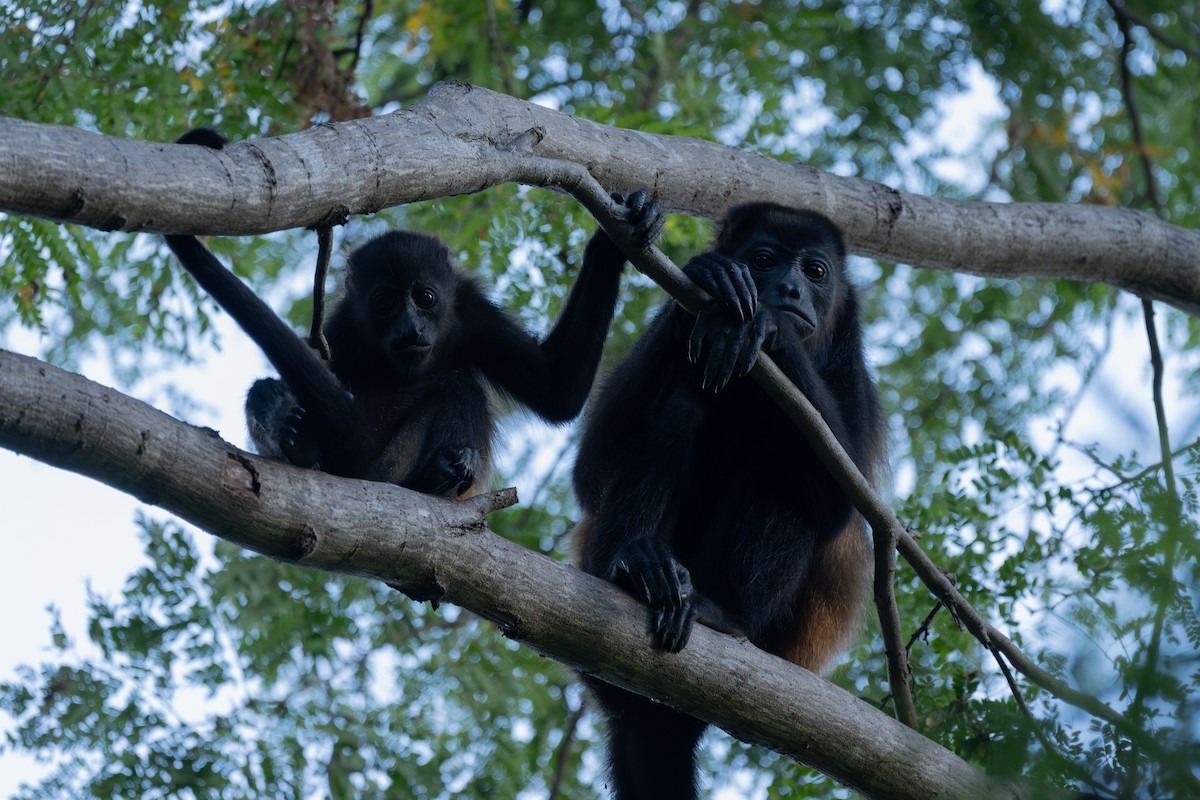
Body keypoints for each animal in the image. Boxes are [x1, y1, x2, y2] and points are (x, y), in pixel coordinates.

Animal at [166, 128, 664, 498]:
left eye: (424, 297)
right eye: (385, 304)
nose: (410, 326)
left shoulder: (468, 310)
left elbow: (558, 391)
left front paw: (613, 240)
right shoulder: (343, 328)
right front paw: (280, 415)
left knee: (458, 384)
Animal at [571, 204, 884, 799]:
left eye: (816, 272)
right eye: (763, 260)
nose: (788, 289)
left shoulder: (851, 357)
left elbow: (843, 504)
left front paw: (771, 326)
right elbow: (593, 469)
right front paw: (709, 275)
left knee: (784, 480)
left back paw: (725, 615)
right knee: (679, 407)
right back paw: (634, 569)